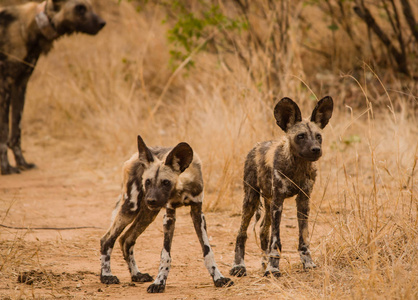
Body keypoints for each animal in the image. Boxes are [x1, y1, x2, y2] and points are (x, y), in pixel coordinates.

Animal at [0, 0, 105, 175]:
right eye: (80, 8)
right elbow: (3, 132)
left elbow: (16, 132)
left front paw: (22, 163)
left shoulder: (20, 85)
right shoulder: (5, 86)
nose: (102, 23)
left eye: (90, 6)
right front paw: (5, 168)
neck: (28, 27)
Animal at [100, 135, 233, 292]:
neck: (182, 188)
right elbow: (165, 255)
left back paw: (136, 275)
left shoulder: (197, 213)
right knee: (107, 239)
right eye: (148, 181)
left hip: (149, 213)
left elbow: (208, 251)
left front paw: (218, 278)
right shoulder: (169, 215)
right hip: (131, 207)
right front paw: (159, 282)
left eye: (165, 182)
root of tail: (135, 156)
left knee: (126, 240)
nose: (150, 199)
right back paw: (107, 276)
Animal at [229, 96, 334, 276]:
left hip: (268, 201)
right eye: (301, 136)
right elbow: (276, 240)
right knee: (241, 234)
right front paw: (273, 268)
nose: (316, 149)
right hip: (251, 199)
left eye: (318, 136)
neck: (297, 167)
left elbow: (304, 238)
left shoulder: (303, 200)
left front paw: (308, 263)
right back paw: (239, 266)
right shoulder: (279, 201)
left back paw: (263, 263)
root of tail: (256, 146)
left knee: (263, 230)